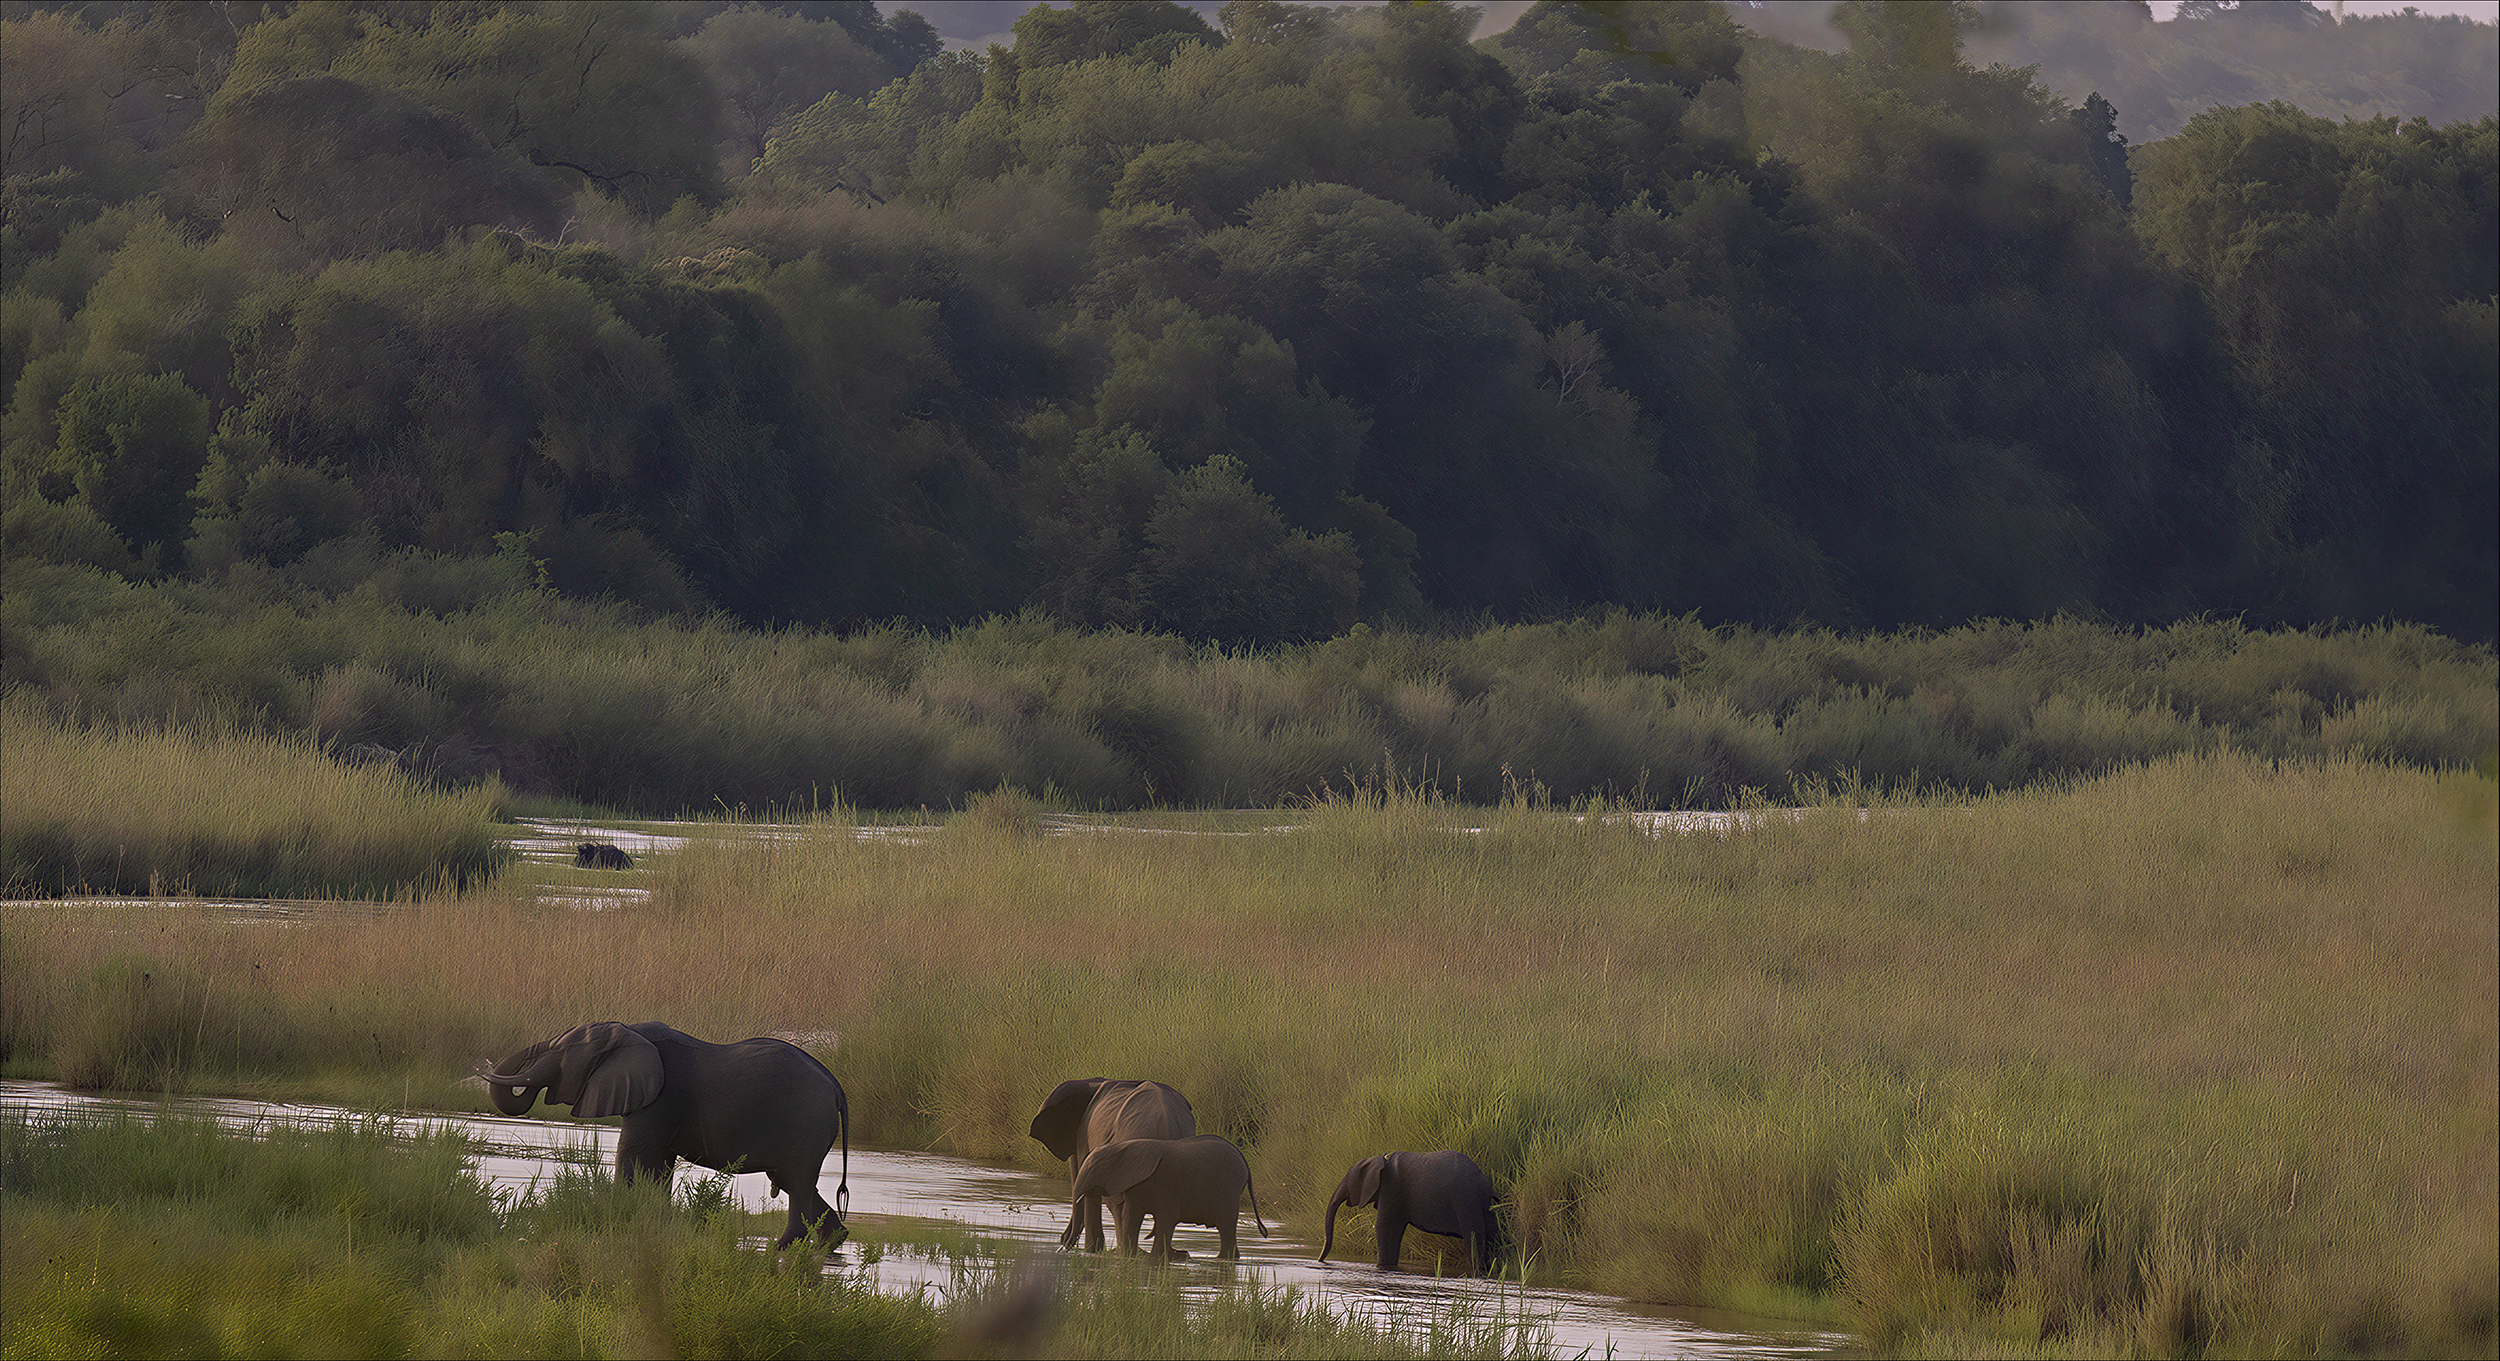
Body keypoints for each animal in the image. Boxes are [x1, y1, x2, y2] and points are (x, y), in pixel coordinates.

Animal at [478, 1021, 848, 1249]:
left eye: (558, 1053)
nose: (483, 1067)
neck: (625, 1031)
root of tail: (836, 1087)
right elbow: (658, 1166)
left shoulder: (660, 1097)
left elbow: (634, 1156)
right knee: (792, 1181)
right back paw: (831, 1241)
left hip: (806, 1123)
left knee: (797, 1183)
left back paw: (779, 1249)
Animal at [1071, 1135, 1267, 1260]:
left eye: (1093, 1169)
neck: (1121, 1147)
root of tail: (1246, 1164)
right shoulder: (1136, 1184)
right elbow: (1131, 1216)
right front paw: (1131, 1256)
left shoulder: (1165, 1184)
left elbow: (1167, 1218)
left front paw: (1161, 1258)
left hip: (1229, 1190)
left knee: (1226, 1226)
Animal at [1320, 1150, 1504, 1274]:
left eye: (1348, 1181)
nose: (1321, 1260)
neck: (1379, 1160)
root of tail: (1485, 1184)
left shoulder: (1391, 1189)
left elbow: (1385, 1229)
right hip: (1484, 1205)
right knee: (1494, 1237)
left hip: (1466, 1200)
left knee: (1474, 1239)